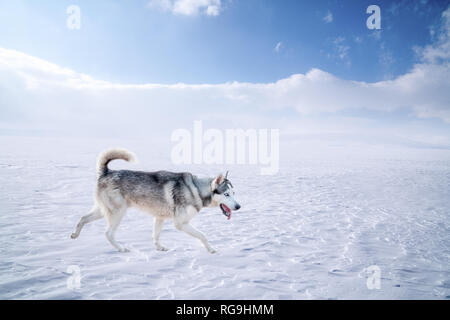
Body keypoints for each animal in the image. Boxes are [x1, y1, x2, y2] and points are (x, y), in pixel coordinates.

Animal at [70, 149, 241, 254]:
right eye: (226, 194)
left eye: (234, 193)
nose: (238, 206)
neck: (197, 189)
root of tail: (106, 172)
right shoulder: (180, 223)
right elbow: (203, 235)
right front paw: (211, 250)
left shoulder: (159, 217)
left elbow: (155, 235)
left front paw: (159, 248)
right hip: (118, 212)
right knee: (108, 233)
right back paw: (121, 248)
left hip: (102, 210)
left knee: (83, 218)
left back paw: (74, 234)